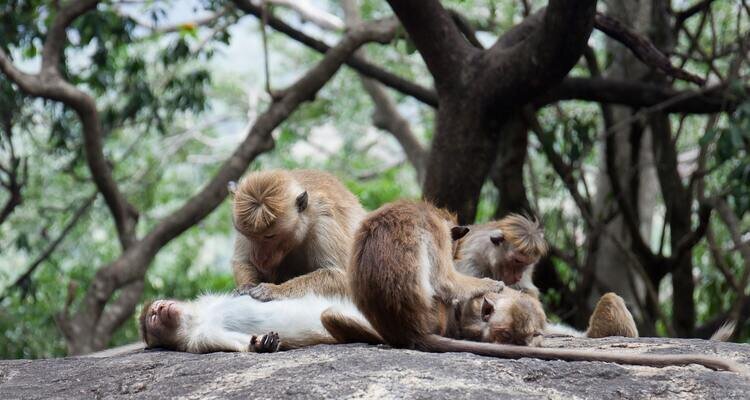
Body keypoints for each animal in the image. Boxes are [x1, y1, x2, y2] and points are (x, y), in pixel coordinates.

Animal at [229, 169, 365, 301]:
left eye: (269, 236)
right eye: (249, 236)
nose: (258, 259)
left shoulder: (324, 222)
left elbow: (342, 276)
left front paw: (276, 290)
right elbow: (242, 261)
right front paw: (247, 285)